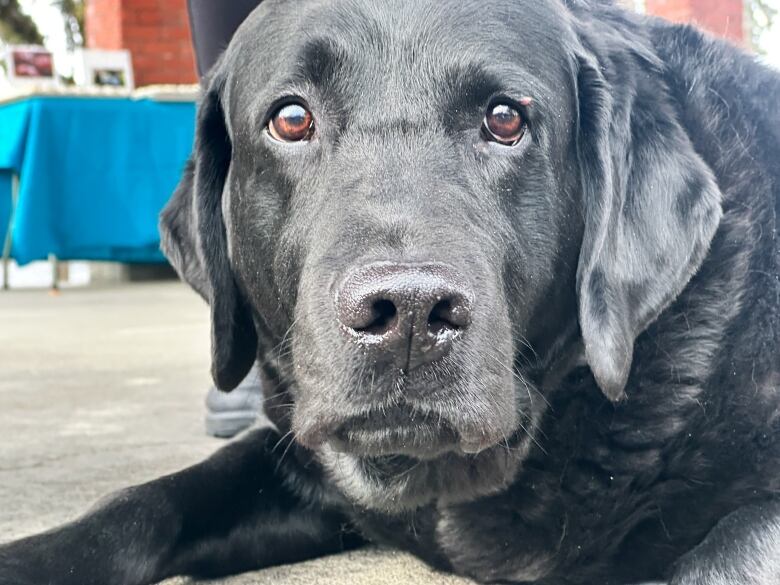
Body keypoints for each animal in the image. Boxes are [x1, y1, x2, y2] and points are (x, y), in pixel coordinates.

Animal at [1, 1, 780, 584]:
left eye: (505, 118)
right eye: (291, 119)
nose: (407, 312)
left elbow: (725, 550)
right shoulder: (300, 459)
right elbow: (144, 500)